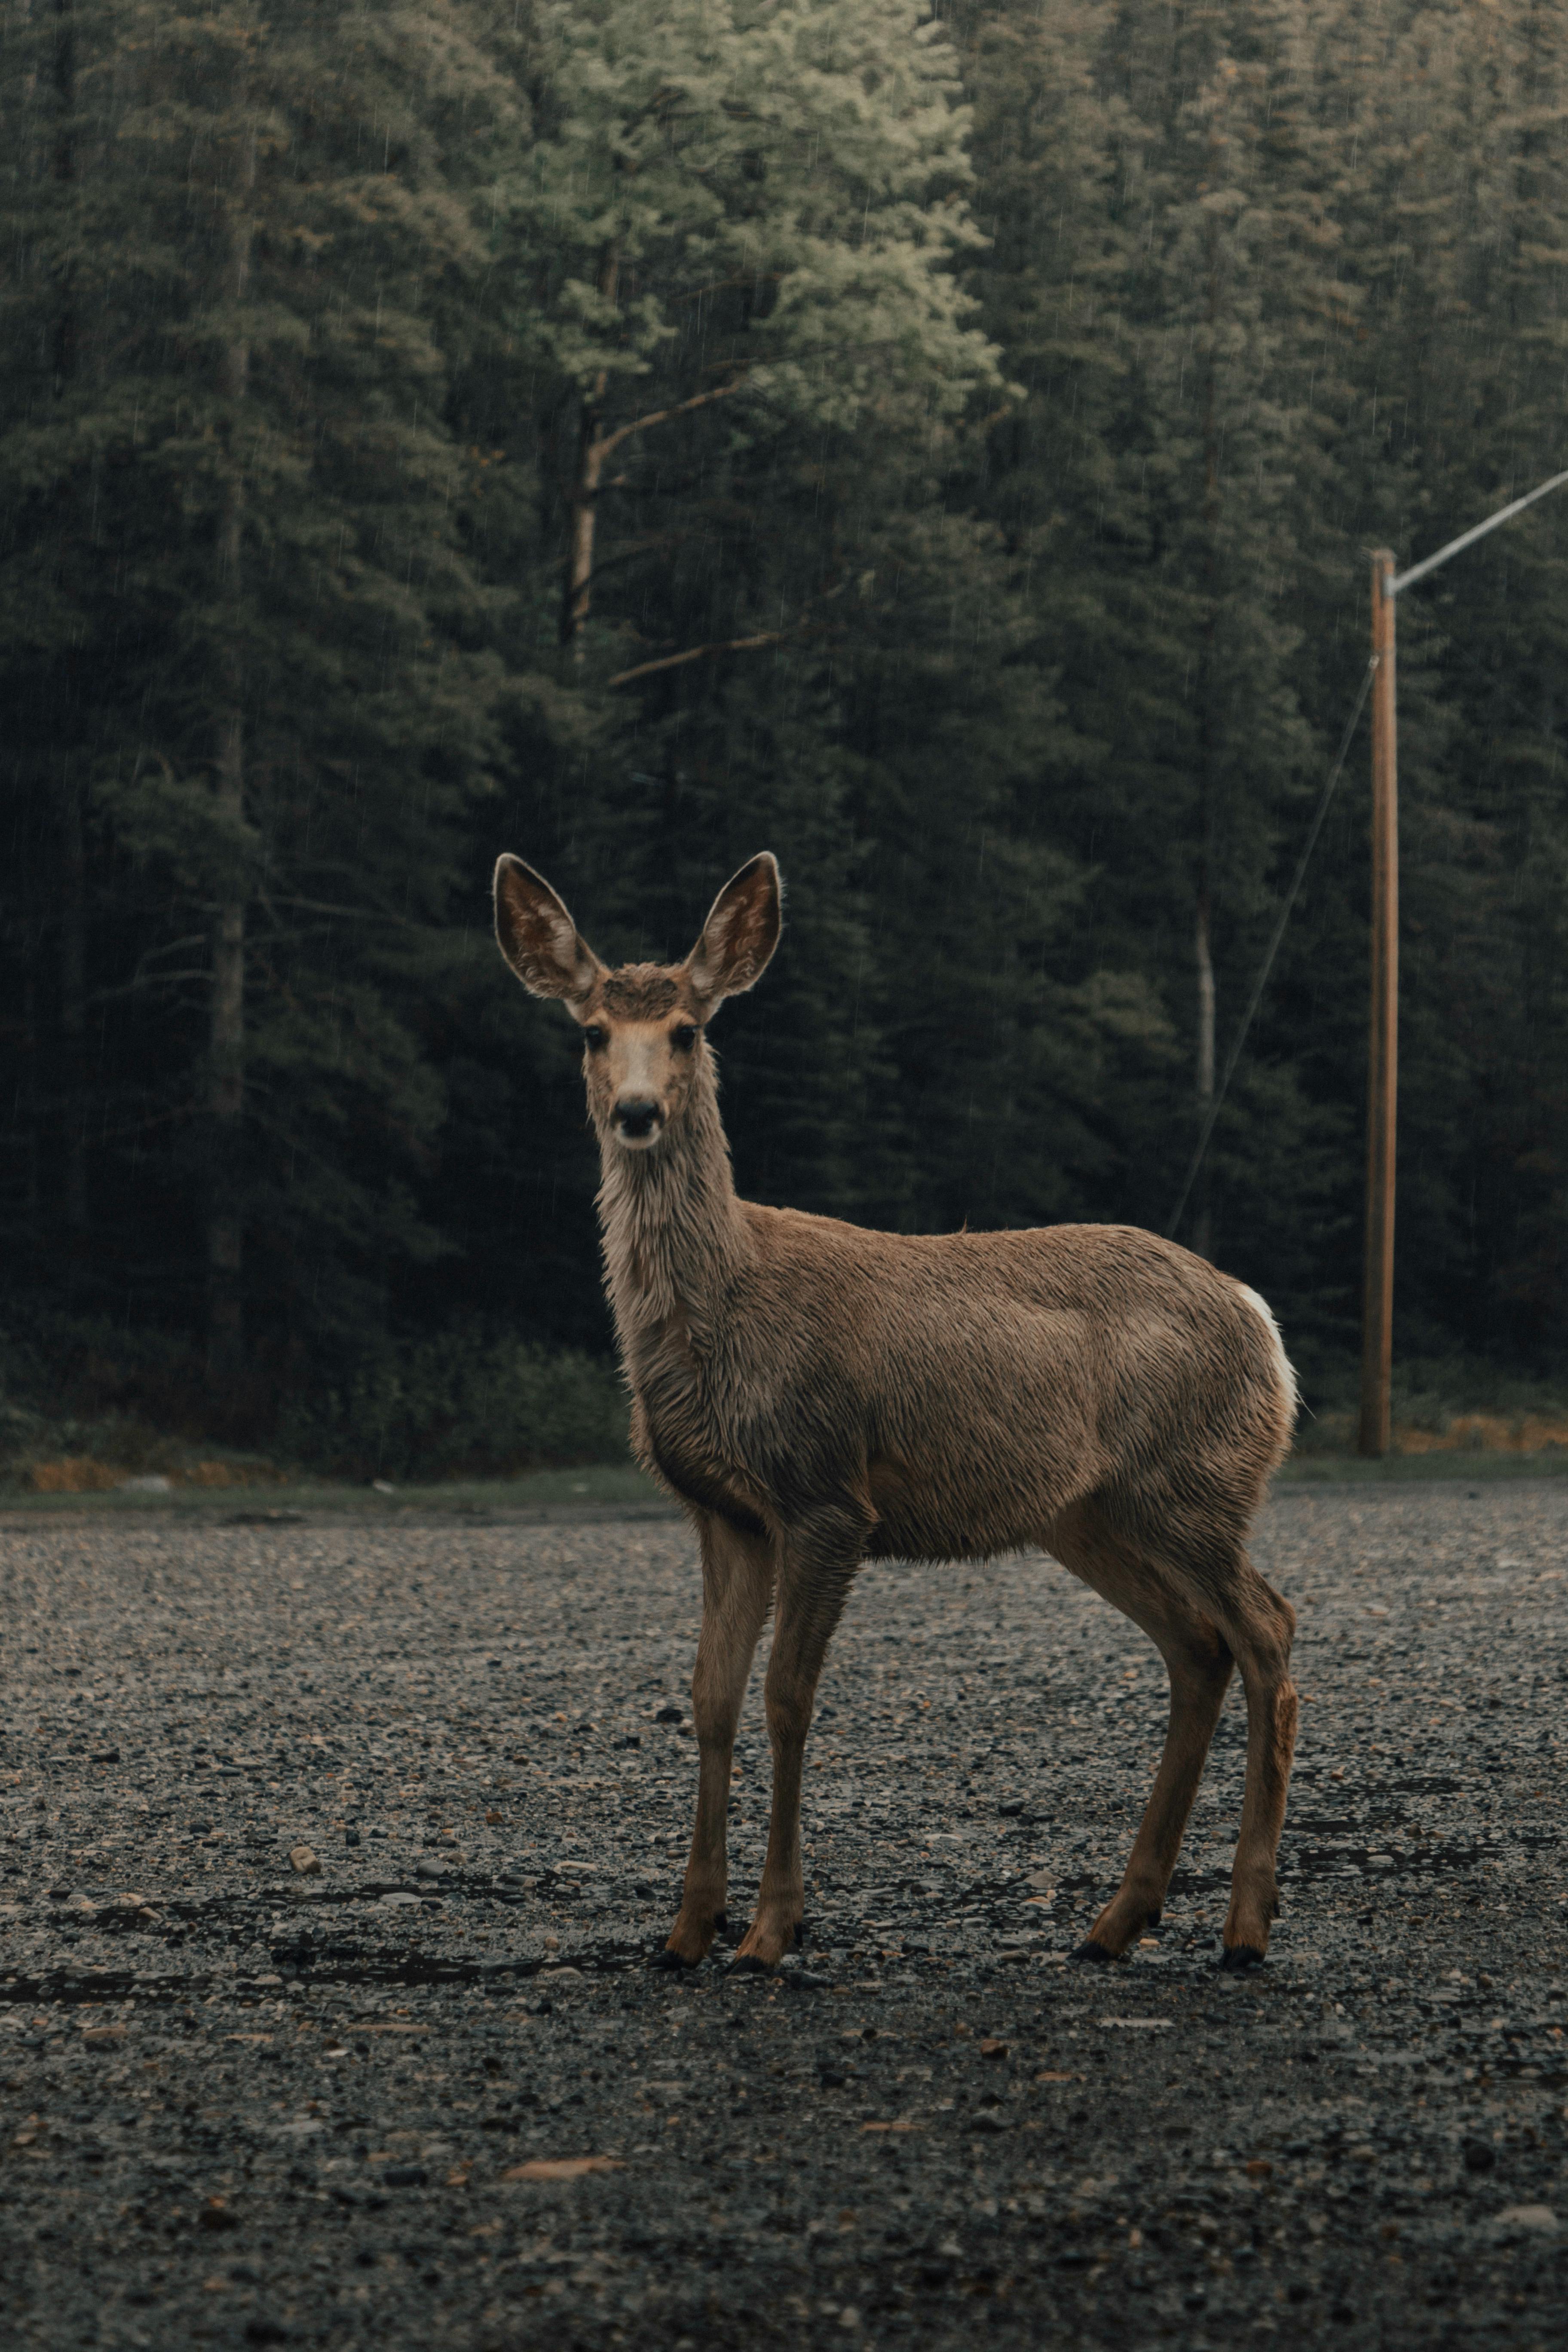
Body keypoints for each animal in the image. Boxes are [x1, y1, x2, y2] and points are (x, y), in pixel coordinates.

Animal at [494, 849, 1299, 1972]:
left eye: (689, 1029)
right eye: (593, 1031)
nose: (638, 1113)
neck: (728, 1301)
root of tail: (1260, 1318)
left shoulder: (827, 1492)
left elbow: (788, 1696)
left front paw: (772, 1928)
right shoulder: (723, 1510)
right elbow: (709, 1698)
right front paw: (687, 1929)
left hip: (1192, 1483)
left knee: (1268, 1628)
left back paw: (1245, 1926)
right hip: (1089, 1513)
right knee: (1198, 1645)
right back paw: (1116, 1920)